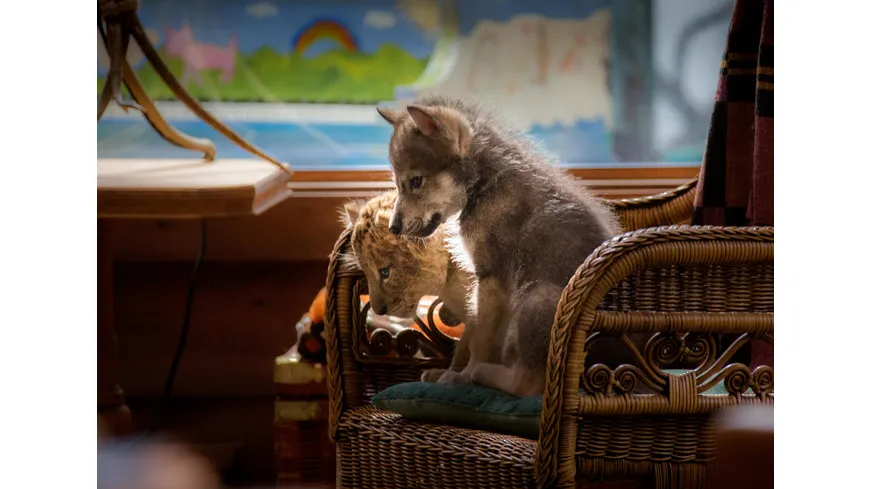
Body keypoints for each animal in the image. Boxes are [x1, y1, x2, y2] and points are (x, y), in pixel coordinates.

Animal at [376, 96, 624, 397]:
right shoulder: (483, 285)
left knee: (529, 385)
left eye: (416, 181)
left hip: (535, 299)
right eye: (398, 183)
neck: (484, 186)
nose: (393, 228)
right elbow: (472, 335)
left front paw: (462, 376)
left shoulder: (492, 279)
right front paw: (446, 374)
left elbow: (481, 341)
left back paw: (484, 374)